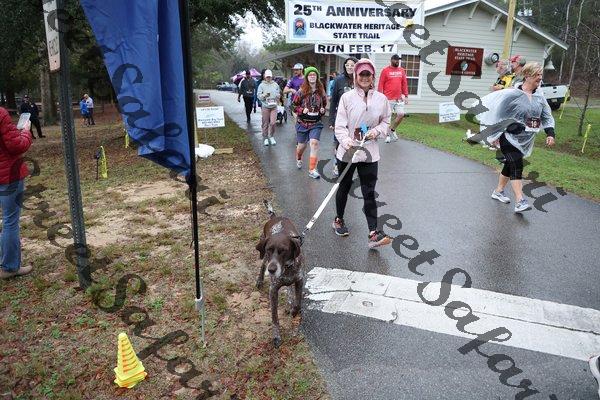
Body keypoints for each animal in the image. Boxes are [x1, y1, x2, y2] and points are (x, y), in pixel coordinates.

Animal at [256, 200, 304, 347]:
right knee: (262, 266)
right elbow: (274, 317)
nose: (271, 270)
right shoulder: (273, 290)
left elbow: (298, 303)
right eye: (269, 249)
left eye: (284, 250)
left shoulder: (300, 280)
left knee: (289, 289)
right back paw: (259, 280)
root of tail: (274, 217)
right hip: (264, 258)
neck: (287, 268)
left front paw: (293, 311)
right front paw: (276, 335)